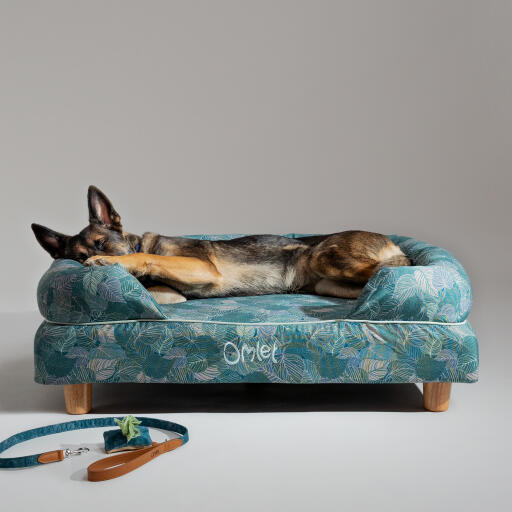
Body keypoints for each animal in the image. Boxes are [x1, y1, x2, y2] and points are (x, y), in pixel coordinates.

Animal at [32, 187, 410, 304]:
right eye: (77, 256)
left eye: (102, 242)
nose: (93, 258)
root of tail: (394, 244)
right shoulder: (172, 296)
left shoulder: (203, 268)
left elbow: (146, 254)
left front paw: (113, 263)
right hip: (331, 286)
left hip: (322, 257)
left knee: (394, 268)